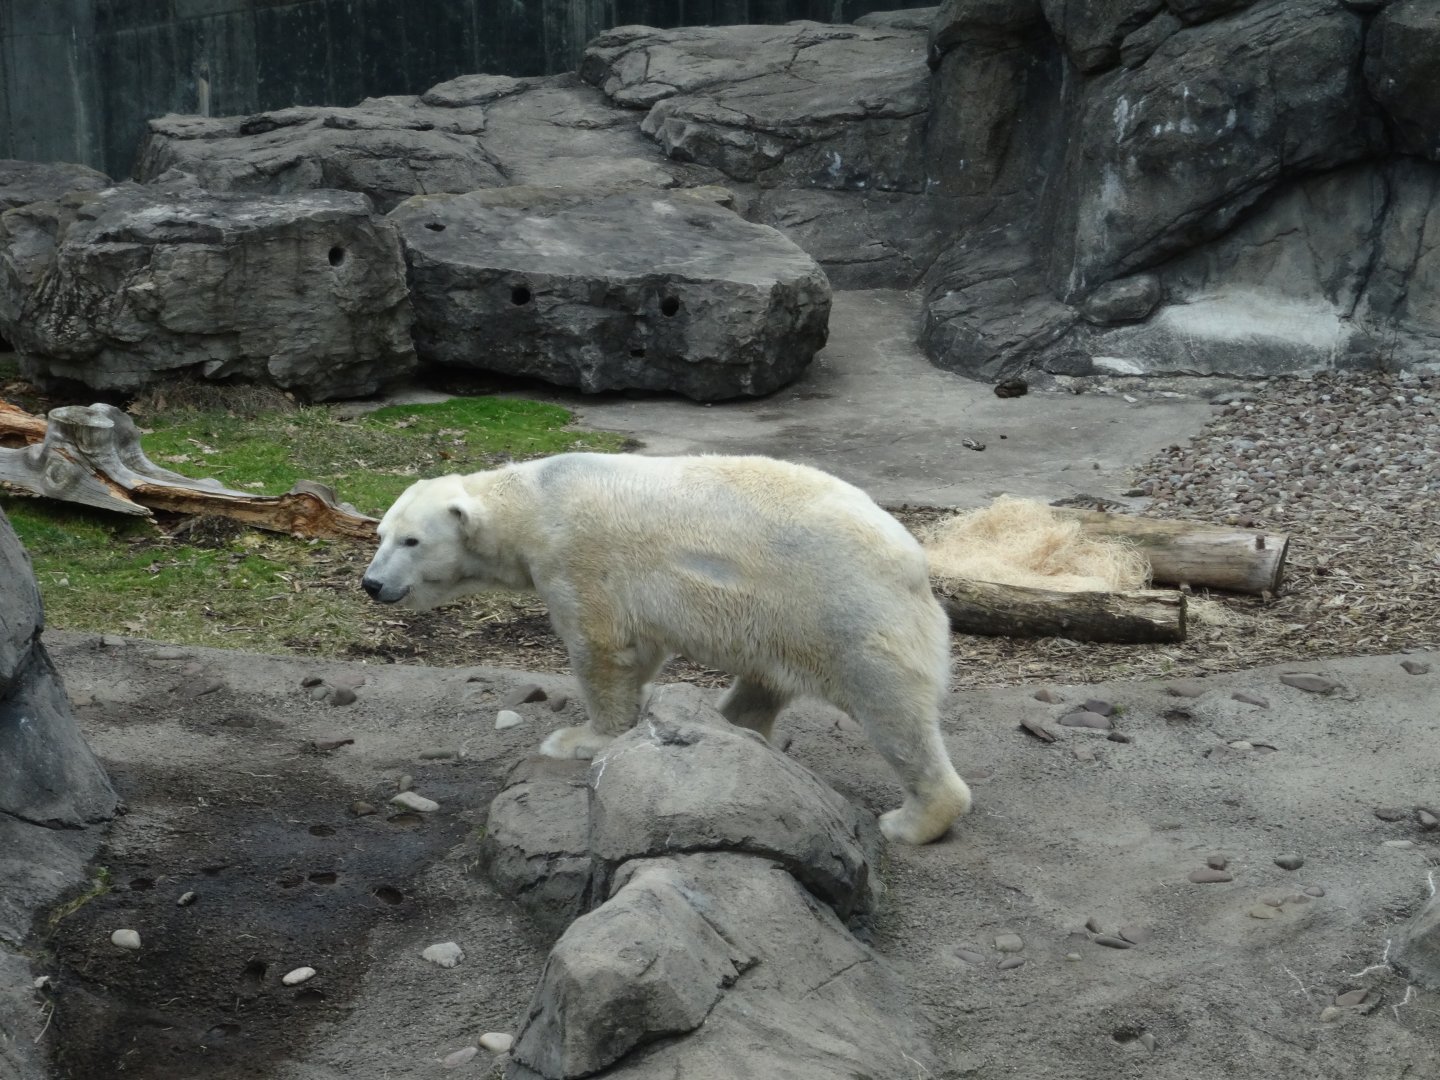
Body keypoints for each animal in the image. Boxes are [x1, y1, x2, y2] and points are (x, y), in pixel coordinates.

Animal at [361, 452, 971, 845]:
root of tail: (916, 562)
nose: (371, 583)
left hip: (845, 609)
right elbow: (641, 651)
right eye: (381, 534)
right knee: (765, 681)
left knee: (891, 710)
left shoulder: (578, 556)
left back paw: (910, 821)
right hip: (788, 622)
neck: (533, 498)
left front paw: (578, 739)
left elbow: (601, 648)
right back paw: (730, 724)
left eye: (412, 540)